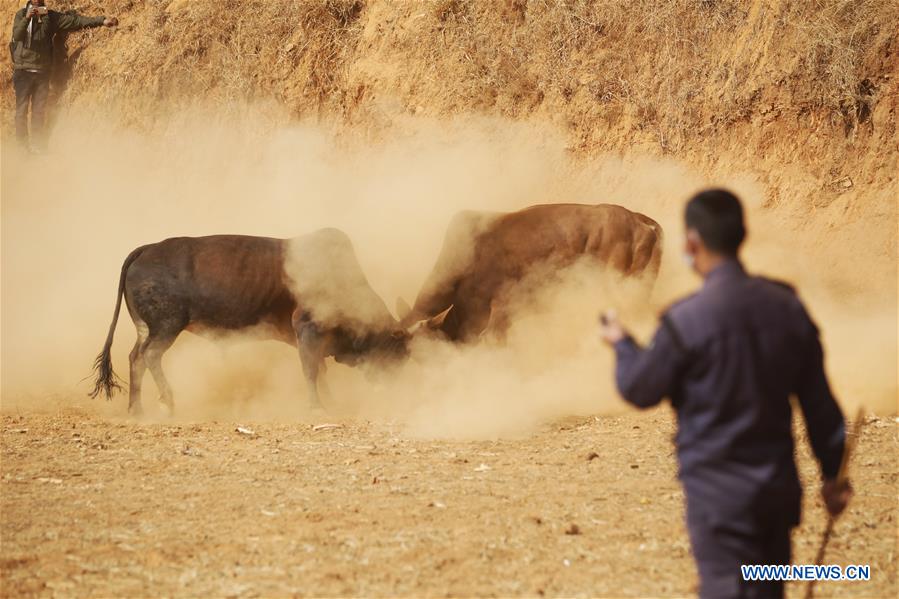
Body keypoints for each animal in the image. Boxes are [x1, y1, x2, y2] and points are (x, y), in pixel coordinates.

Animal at [89, 227, 408, 414]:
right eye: (396, 351)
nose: (398, 386)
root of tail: (146, 248)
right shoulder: (307, 330)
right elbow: (311, 370)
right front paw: (317, 407)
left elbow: (320, 368)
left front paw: (331, 402)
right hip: (167, 326)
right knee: (150, 355)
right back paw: (168, 401)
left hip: (147, 328)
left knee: (136, 358)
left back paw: (136, 410)